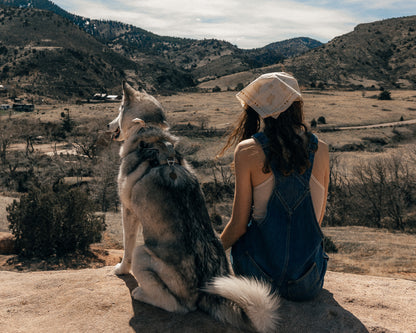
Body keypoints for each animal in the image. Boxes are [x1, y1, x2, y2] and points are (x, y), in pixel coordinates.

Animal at [107, 81, 280, 332]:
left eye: (119, 109)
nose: (107, 125)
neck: (150, 137)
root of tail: (205, 290)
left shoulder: (127, 211)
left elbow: (126, 248)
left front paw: (121, 269)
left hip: (144, 253)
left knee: (175, 305)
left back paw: (141, 293)